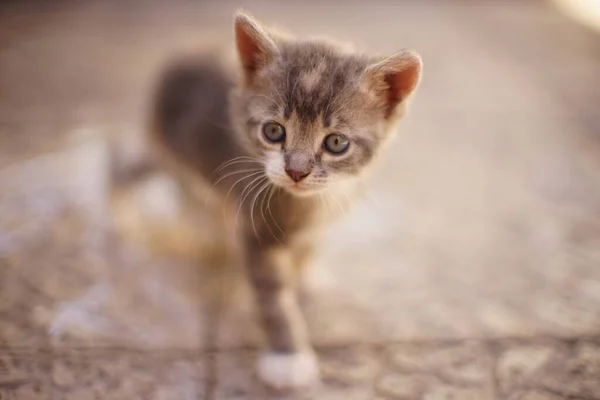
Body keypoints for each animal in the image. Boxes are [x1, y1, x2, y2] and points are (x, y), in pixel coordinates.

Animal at [150, 11, 422, 390]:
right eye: (273, 131)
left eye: (336, 142)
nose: (296, 171)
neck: (307, 205)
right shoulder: (255, 229)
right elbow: (273, 296)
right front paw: (287, 357)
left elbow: (306, 247)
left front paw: (307, 274)